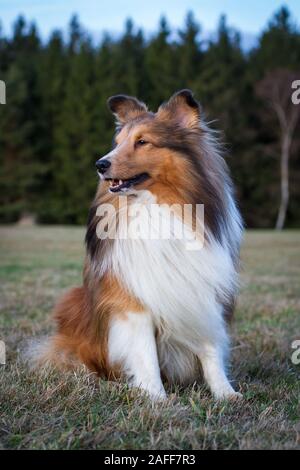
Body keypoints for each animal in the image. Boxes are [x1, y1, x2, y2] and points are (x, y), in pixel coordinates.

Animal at [32, 91, 244, 400]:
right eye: (117, 143)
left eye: (143, 142)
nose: (100, 164)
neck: (157, 209)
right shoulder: (133, 300)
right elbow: (146, 353)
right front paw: (156, 397)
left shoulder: (203, 290)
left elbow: (210, 348)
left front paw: (225, 393)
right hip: (74, 302)